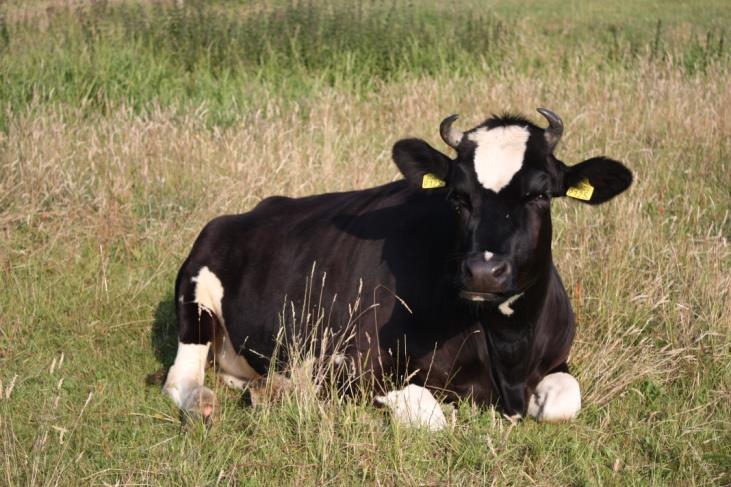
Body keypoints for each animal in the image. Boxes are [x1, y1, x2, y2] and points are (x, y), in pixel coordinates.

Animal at [163, 107, 632, 428]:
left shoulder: (556, 361)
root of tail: (254, 209)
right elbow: (436, 418)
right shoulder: (352, 367)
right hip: (195, 295)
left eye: (540, 195)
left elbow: (565, 402)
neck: (507, 349)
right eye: (457, 196)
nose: (484, 272)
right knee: (180, 378)